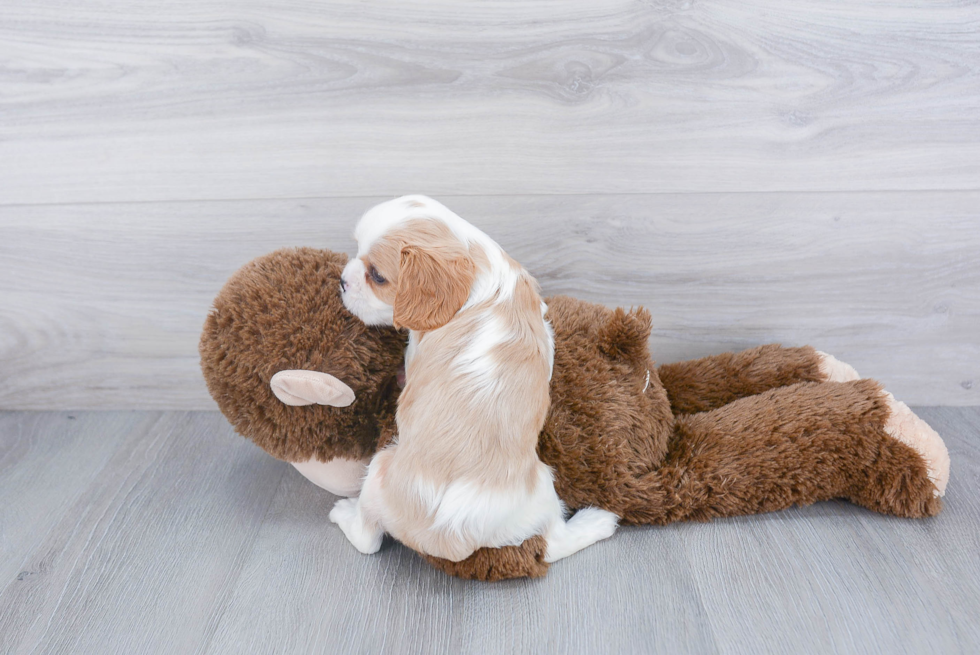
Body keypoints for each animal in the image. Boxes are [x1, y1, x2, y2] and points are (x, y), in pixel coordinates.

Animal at [332, 195, 620, 564]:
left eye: (377, 277)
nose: (343, 281)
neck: (482, 267)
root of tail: (450, 535)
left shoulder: (416, 347)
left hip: (380, 468)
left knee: (368, 540)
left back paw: (343, 513)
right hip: (543, 486)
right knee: (553, 543)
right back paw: (599, 521)